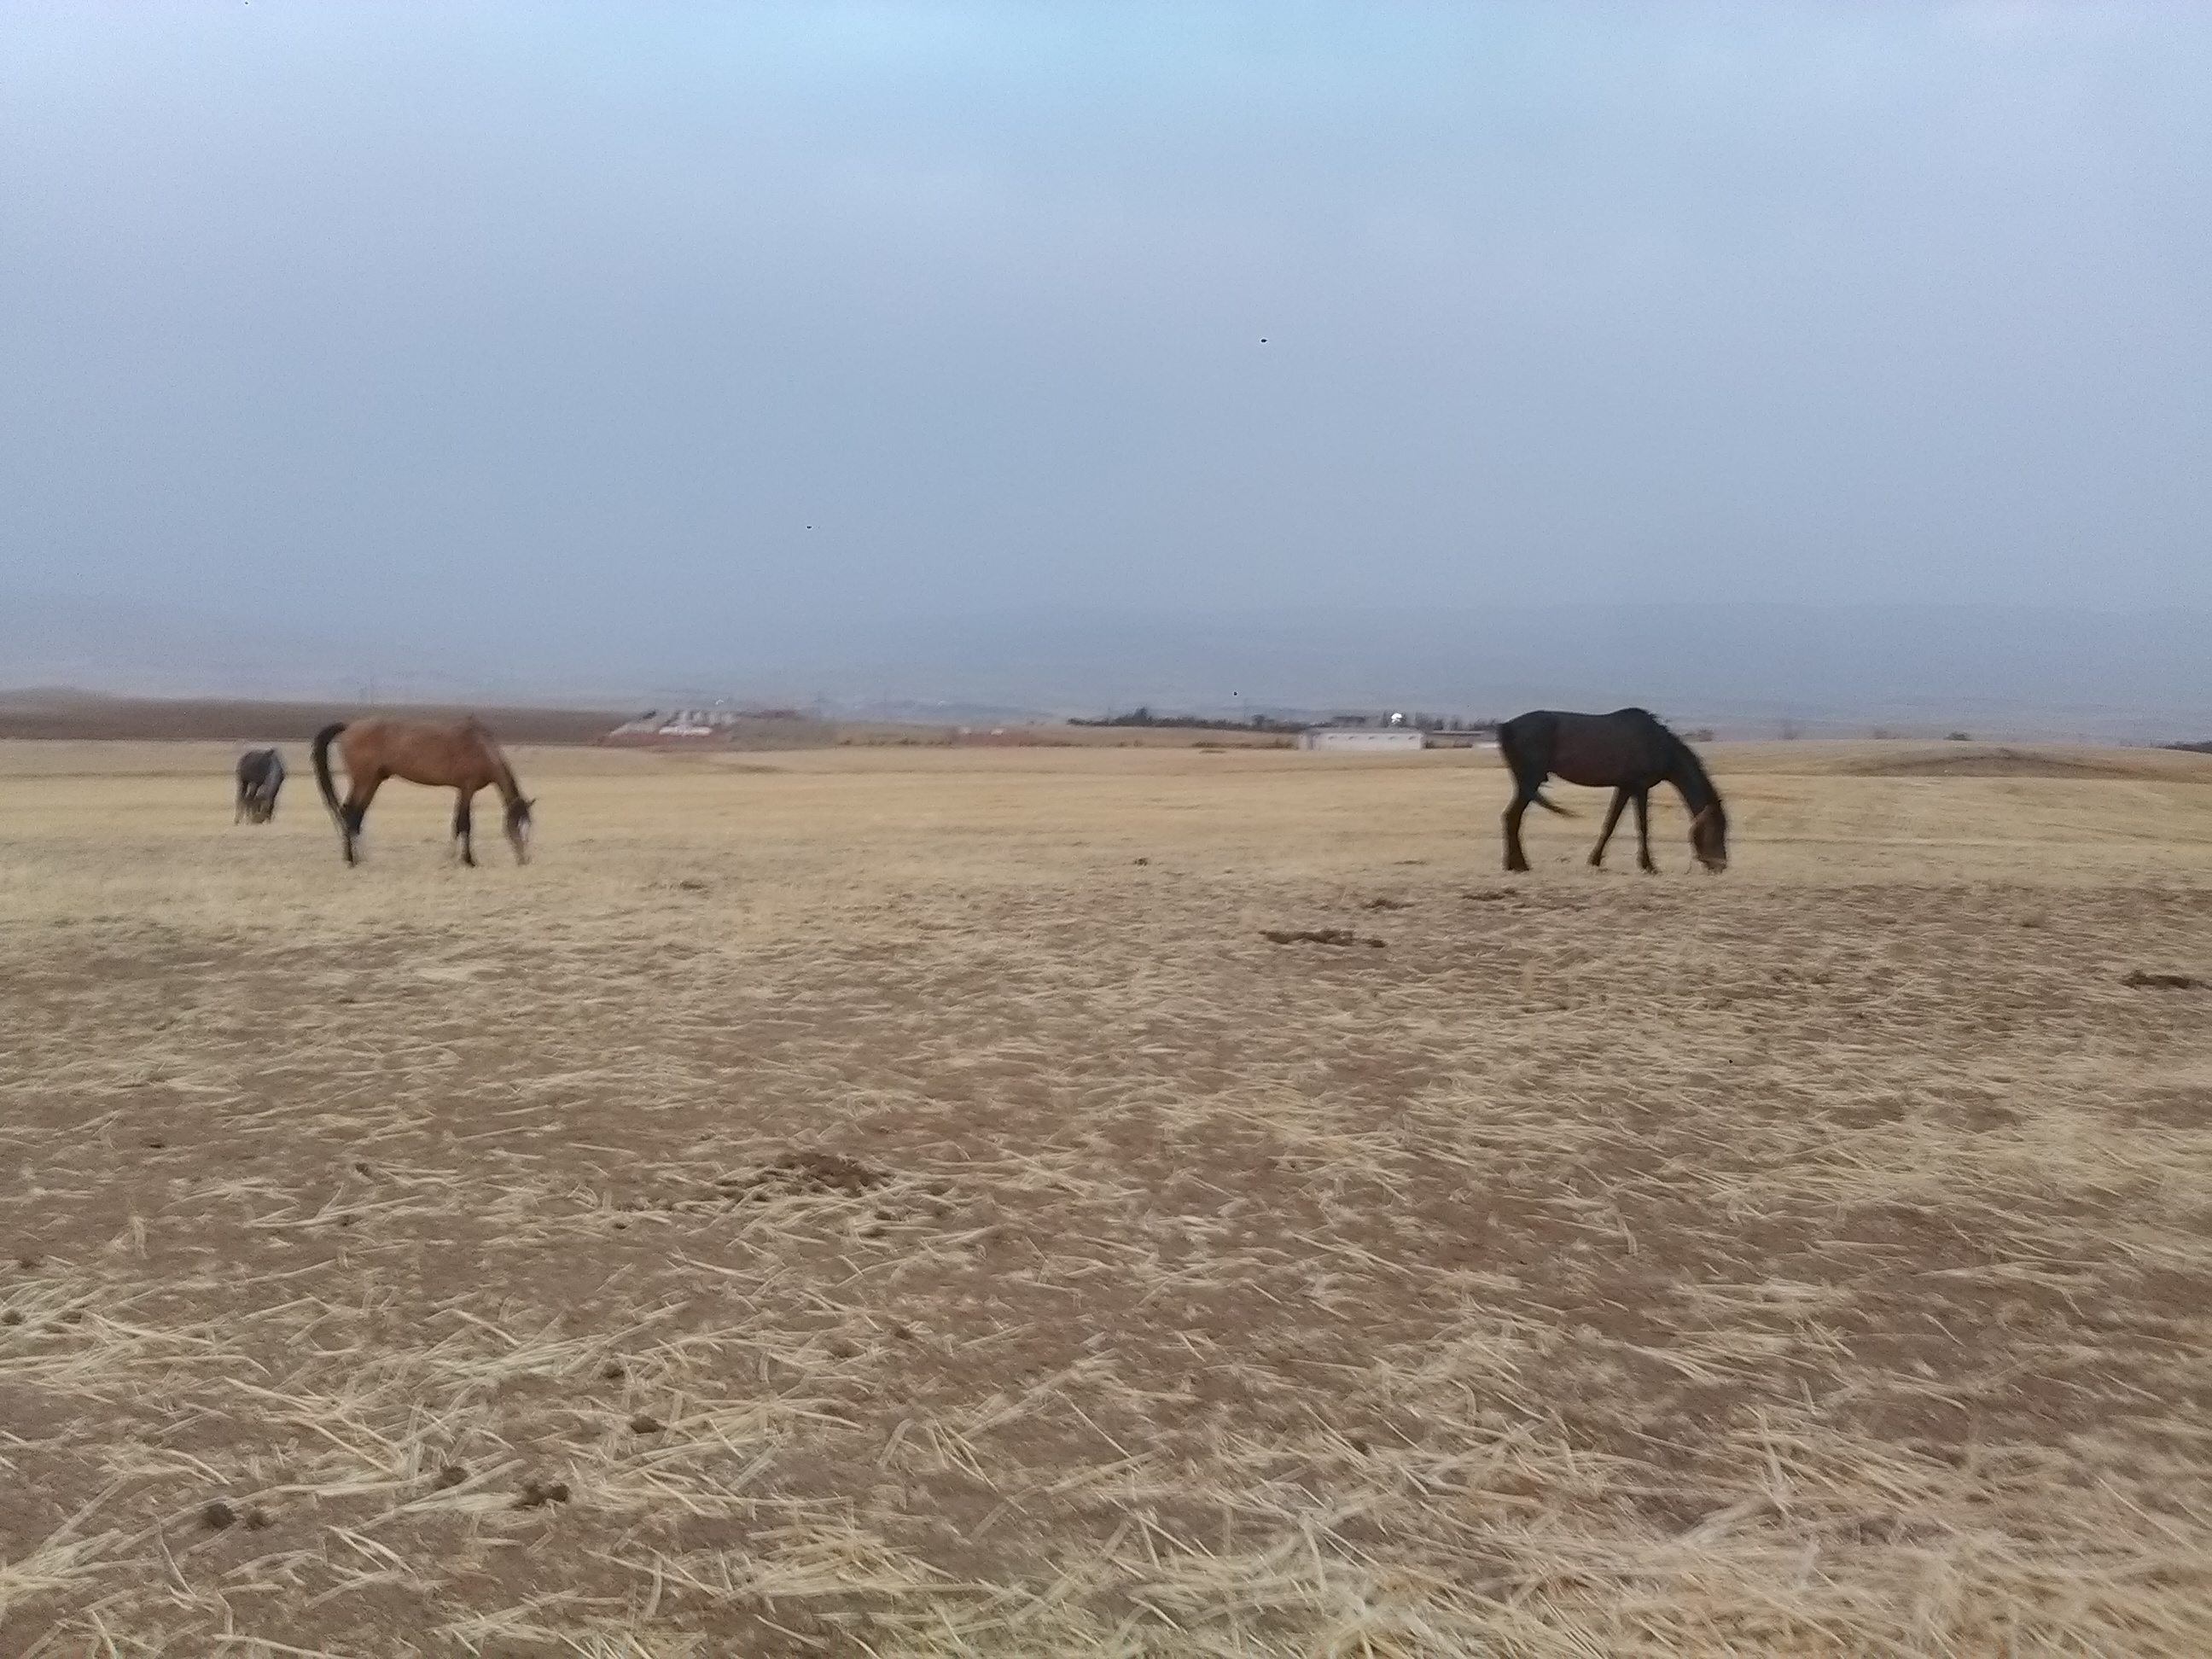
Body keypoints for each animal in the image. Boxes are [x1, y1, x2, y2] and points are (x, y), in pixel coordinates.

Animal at [309, 716, 533, 871]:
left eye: (529, 827)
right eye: (515, 826)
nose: (525, 860)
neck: (482, 748)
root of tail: (349, 726)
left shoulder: (462, 790)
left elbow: (457, 823)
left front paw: (455, 856)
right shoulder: (467, 788)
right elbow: (464, 823)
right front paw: (467, 860)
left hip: (373, 781)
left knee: (357, 815)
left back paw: (359, 857)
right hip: (362, 779)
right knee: (349, 812)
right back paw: (351, 859)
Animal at [1504, 707, 1725, 876]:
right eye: (1718, 830)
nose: (1721, 865)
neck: (1659, 744)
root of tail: (1507, 727)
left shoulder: (1625, 787)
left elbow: (1610, 824)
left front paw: (1595, 860)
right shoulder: (1640, 787)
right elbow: (1643, 826)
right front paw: (1649, 866)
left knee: (1510, 817)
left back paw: (1513, 864)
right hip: (1531, 782)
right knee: (1512, 817)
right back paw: (1520, 865)